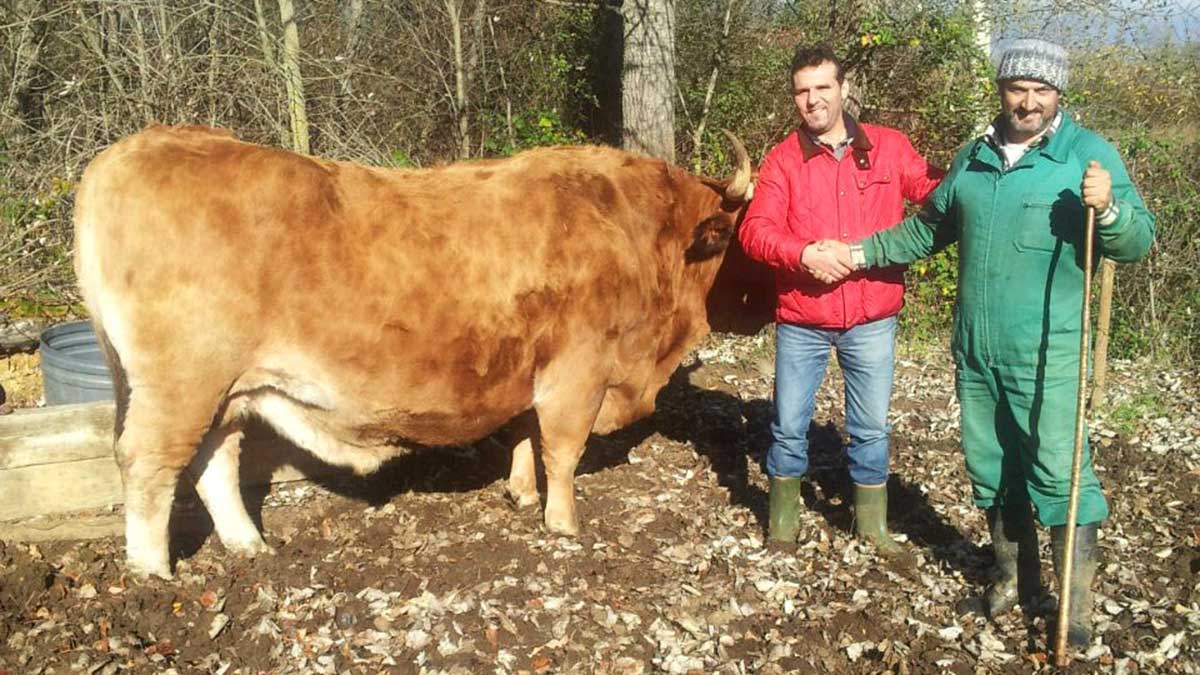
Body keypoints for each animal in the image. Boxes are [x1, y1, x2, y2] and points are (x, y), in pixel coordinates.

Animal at [75, 126, 768, 578]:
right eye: (748, 238)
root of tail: (133, 148)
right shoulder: (581, 372)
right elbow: (563, 450)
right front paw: (564, 523)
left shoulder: (532, 368)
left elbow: (524, 432)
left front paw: (521, 494)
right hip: (179, 386)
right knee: (149, 465)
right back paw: (151, 572)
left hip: (225, 389)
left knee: (214, 460)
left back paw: (249, 548)